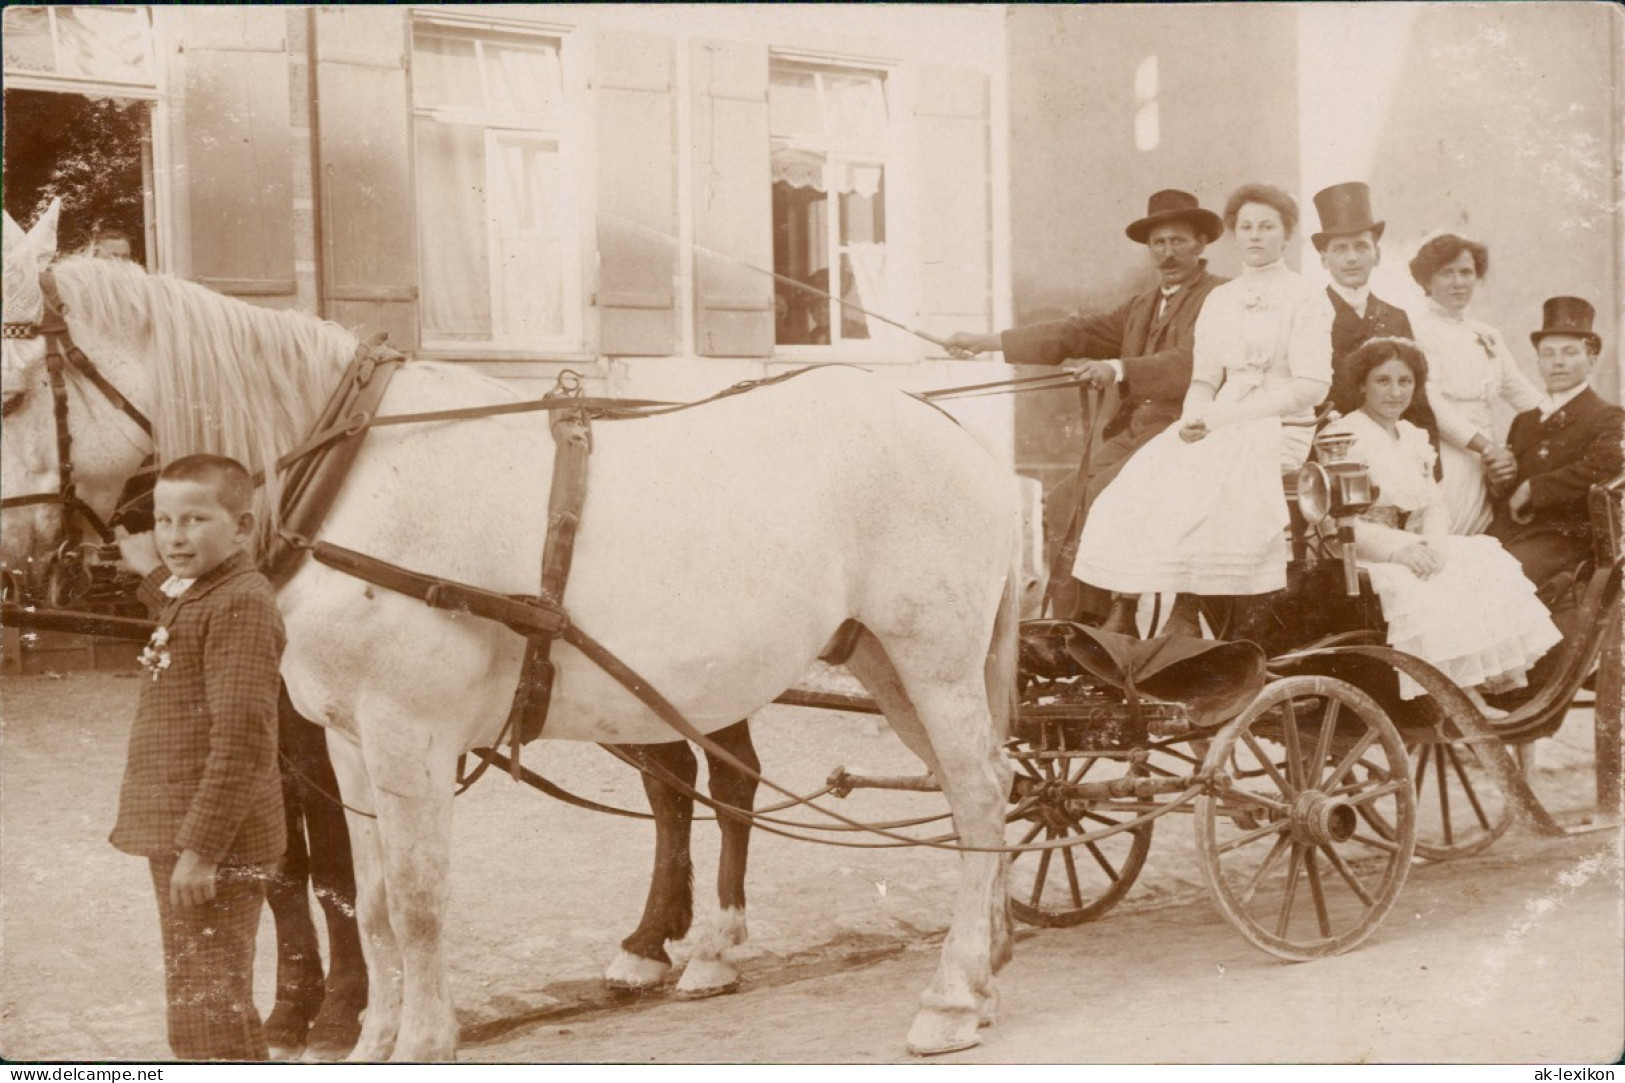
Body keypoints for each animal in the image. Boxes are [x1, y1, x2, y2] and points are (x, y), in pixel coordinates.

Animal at [0, 202, 1020, 1053]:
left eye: (11, 395)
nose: (10, 548)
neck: (349, 473)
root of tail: (948, 427)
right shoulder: (348, 740)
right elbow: (370, 897)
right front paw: (368, 1038)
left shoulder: (408, 733)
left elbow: (414, 900)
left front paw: (419, 1042)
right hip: (877, 663)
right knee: (960, 787)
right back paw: (970, 963)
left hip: (929, 661)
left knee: (972, 796)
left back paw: (946, 993)